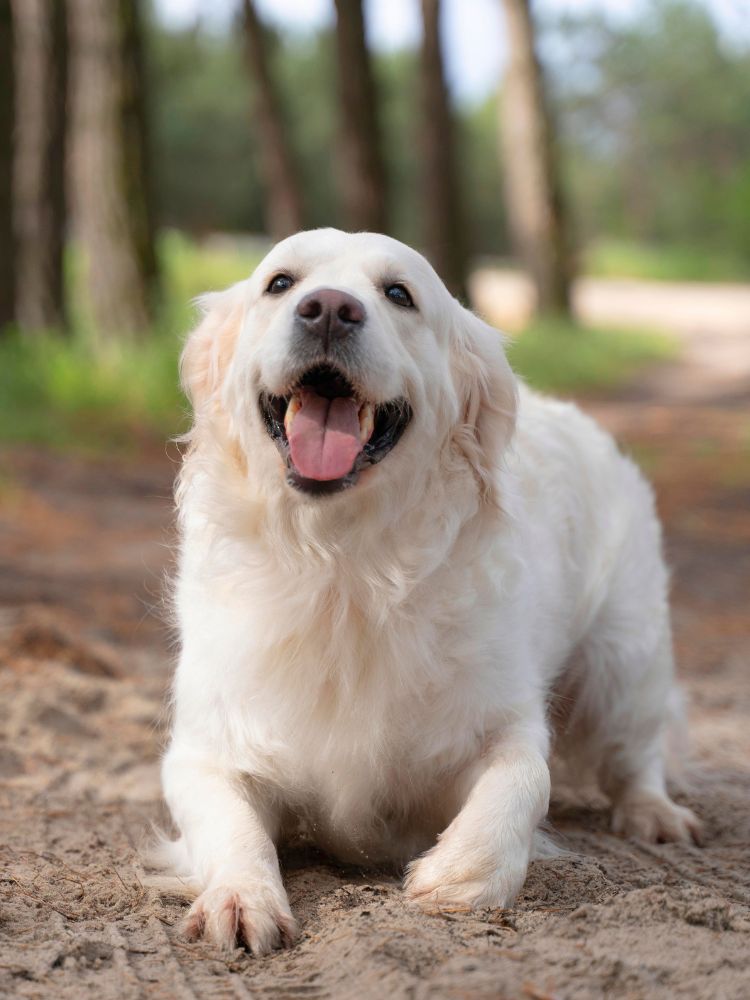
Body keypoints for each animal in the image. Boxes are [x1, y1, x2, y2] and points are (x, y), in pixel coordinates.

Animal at [160, 227, 704, 952]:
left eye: (399, 293)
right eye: (279, 282)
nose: (328, 309)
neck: (344, 568)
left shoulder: (501, 720)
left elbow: (524, 778)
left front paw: (458, 876)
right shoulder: (205, 746)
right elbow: (230, 823)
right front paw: (242, 897)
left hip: (624, 659)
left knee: (638, 749)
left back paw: (655, 814)